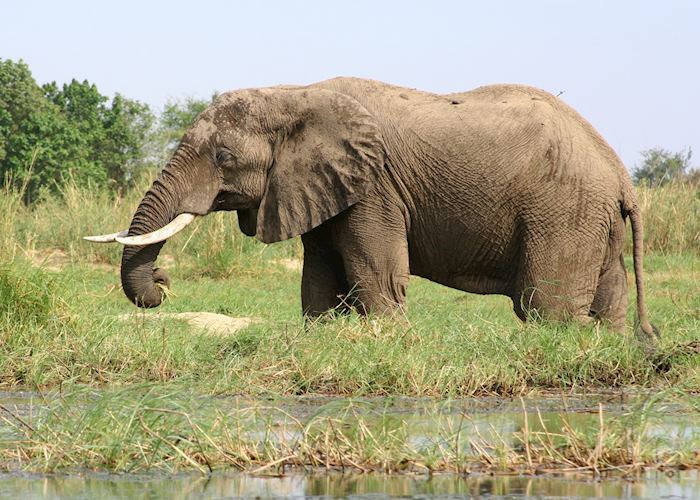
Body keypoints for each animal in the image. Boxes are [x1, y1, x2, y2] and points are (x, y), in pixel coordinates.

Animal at [85, 77, 656, 339]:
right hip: (591, 216)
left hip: (563, 211)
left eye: (223, 158)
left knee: (546, 306)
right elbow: (319, 276)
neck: (294, 94)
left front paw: (391, 341)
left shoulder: (373, 188)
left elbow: (374, 276)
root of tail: (620, 173)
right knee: (607, 298)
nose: (163, 282)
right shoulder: (317, 189)